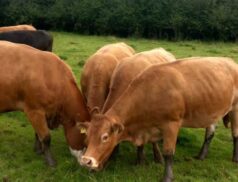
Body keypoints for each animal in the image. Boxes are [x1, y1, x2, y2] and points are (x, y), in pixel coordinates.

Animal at [79, 57, 238, 181]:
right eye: (87, 136)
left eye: (105, 137)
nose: (86, 161)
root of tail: (230, 61)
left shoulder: (172, 124)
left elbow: (168, 153)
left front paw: (167, 177)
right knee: (210, 132)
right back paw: (201, 155)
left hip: (235, 108)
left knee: (235, 134)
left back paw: (234, 158)